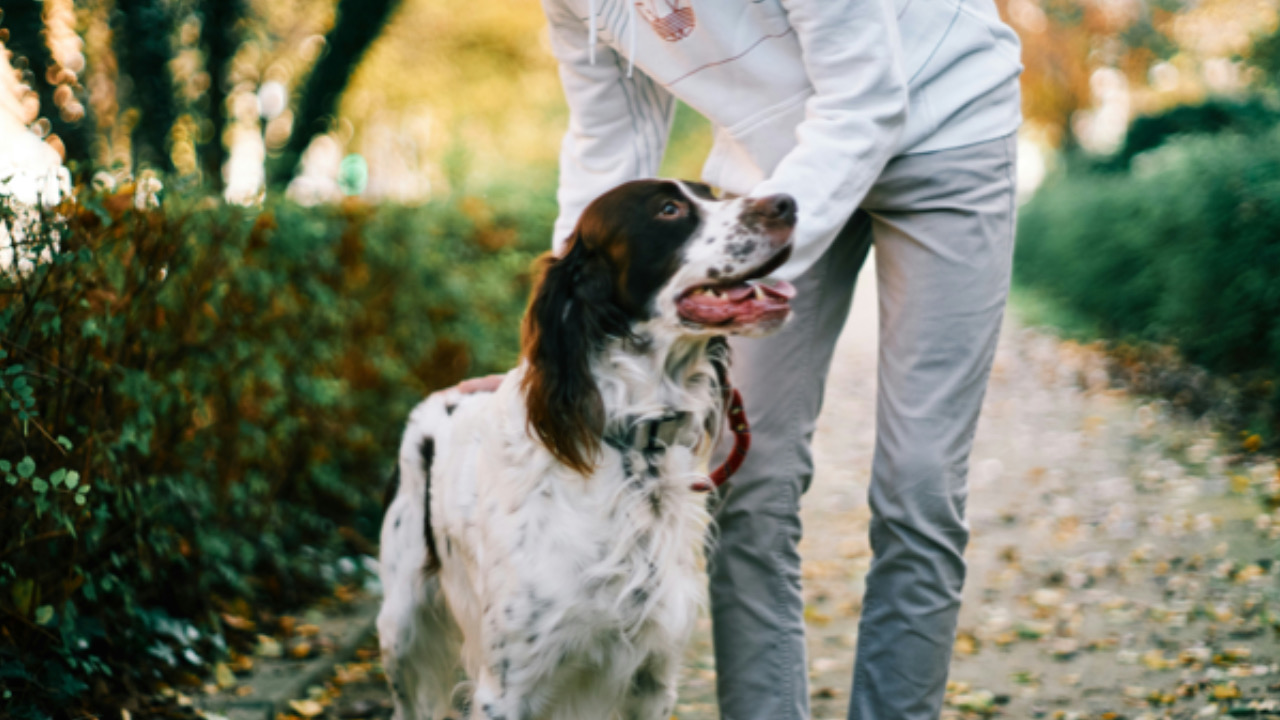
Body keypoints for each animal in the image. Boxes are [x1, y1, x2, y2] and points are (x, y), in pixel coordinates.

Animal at [373, 179, 793, 717]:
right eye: (668, 209)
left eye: (713, 193)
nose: (788, 203)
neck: (633, 446)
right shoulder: (506, 688)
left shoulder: (653, 676)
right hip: (400, 631)